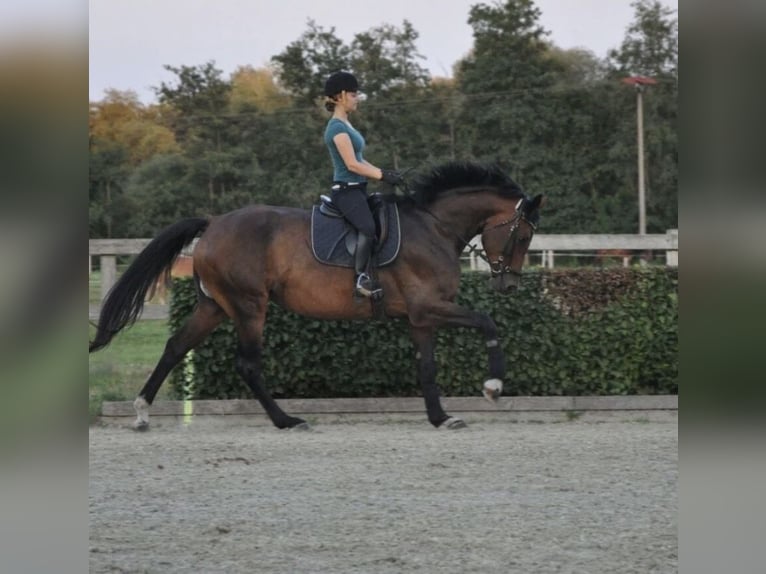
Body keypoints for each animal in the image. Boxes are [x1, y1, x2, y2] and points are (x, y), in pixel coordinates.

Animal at [89, 161, 543, 431]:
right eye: (522, 235)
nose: (508, 285)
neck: (433, 227)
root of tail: (214, 222)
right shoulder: (430, 307)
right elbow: (487, 322)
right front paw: (493, 385)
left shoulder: (420, 317)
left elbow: (426, 368)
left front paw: (440, 417)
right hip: (249, 306)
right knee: (247, 364)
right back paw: (286, 420)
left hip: (214, 305)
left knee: (175, 346)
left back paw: (142, 412)